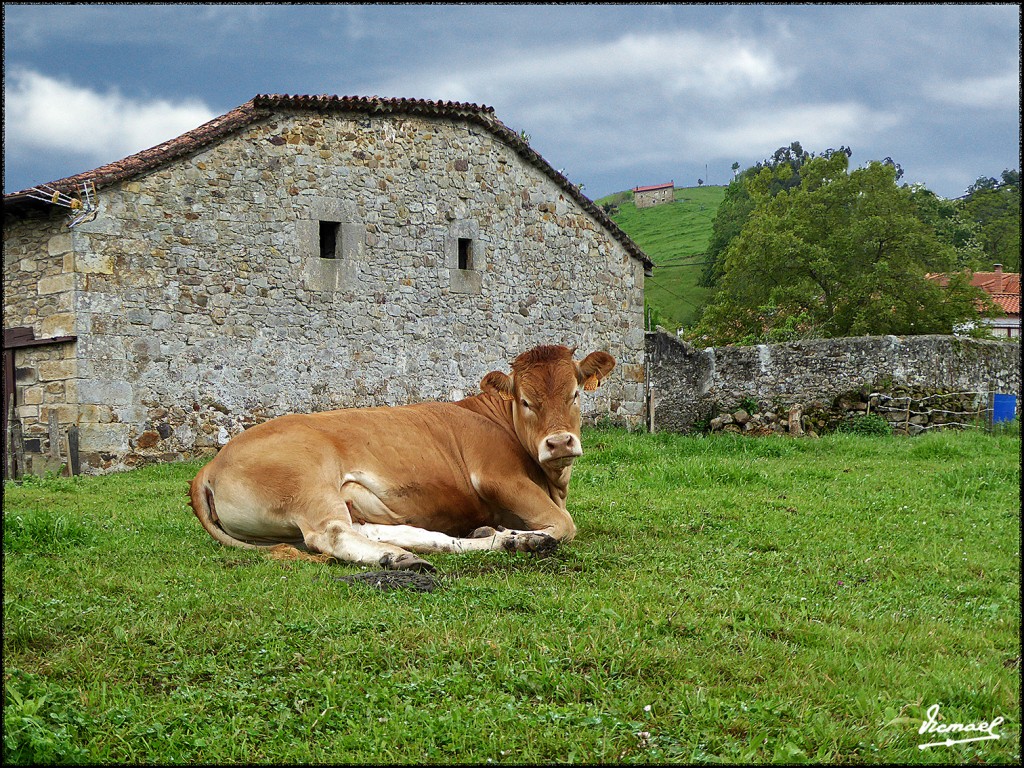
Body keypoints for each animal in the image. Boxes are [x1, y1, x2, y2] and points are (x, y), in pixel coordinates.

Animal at [188, 346, 610, 573]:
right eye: (525, 401)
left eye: (575, 394)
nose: (559, 443)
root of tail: (210, 465)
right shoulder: (497, 476)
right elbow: (563, 525)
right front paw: (532, 532)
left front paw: (509, 534)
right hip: (308, 483)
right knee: (333, 535)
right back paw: (399, 558)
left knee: (389, 532)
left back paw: (505, 542)